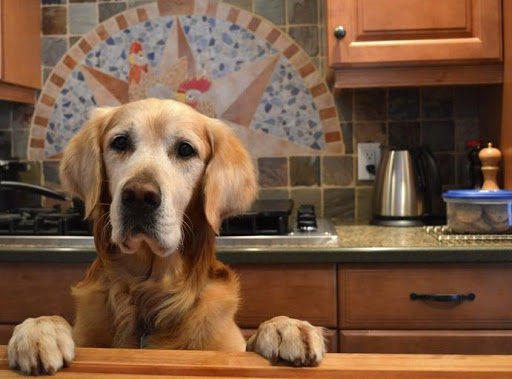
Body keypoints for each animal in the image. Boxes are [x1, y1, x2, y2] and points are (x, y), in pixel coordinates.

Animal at [6, 99, 326, 376]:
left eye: (185, 150)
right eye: (119, 142)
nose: (139, 195)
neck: (150, 292)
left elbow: (253, 337)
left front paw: (285, 327)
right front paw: (38, 329)